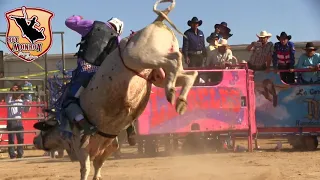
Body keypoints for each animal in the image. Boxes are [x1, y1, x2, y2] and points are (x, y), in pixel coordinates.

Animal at [32, 0, 198, 180]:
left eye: (44, 130)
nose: (34, 140)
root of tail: (158, 20)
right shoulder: (108, 147)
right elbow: (98, 166)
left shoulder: (82, 149)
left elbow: (85, 169)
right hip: (157, 73)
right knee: (189, 74)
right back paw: (180, 101)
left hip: (141, 57)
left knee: (175, 59)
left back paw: (171, 92)